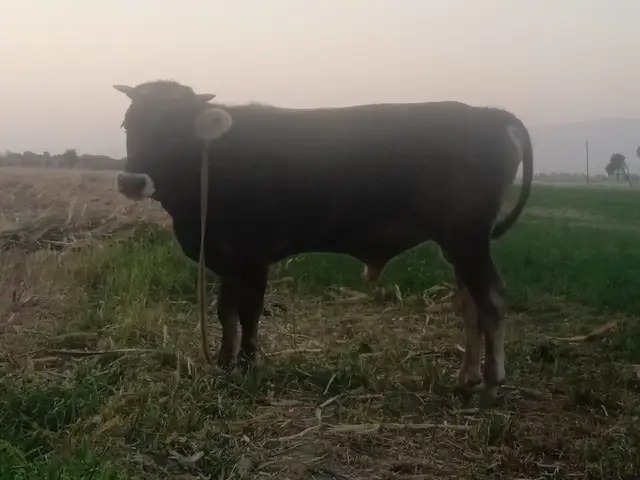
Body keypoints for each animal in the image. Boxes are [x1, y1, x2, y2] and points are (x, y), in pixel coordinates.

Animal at [113, 79, 533, 406]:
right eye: (128, 125)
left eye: (175, 130)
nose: (131, 181)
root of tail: (489, 114)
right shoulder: (225, 260)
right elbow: (226, 313)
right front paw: (224, 362)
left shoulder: (253, 258)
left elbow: (249, 314)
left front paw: (247, 365)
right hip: (457, 245)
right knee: (471, 306)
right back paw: (466, 378)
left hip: (467, 240)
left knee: (491, 301)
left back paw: (491, 384)